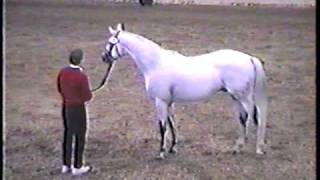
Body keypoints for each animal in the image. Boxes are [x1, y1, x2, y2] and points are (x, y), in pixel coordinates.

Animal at [100, 23, 268, 158]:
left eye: (110, 43)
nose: (104, 57)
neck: (156, 63)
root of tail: (249, 58)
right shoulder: (169, 102)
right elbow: (172, 123)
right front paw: (173, 148)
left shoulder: (160, 101)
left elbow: (162, 126)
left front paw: (161, 153)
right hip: (236, 97)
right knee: (243, 118)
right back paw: (237, 148)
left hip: (244, 98)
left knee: (255, 117)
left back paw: (255, 148)